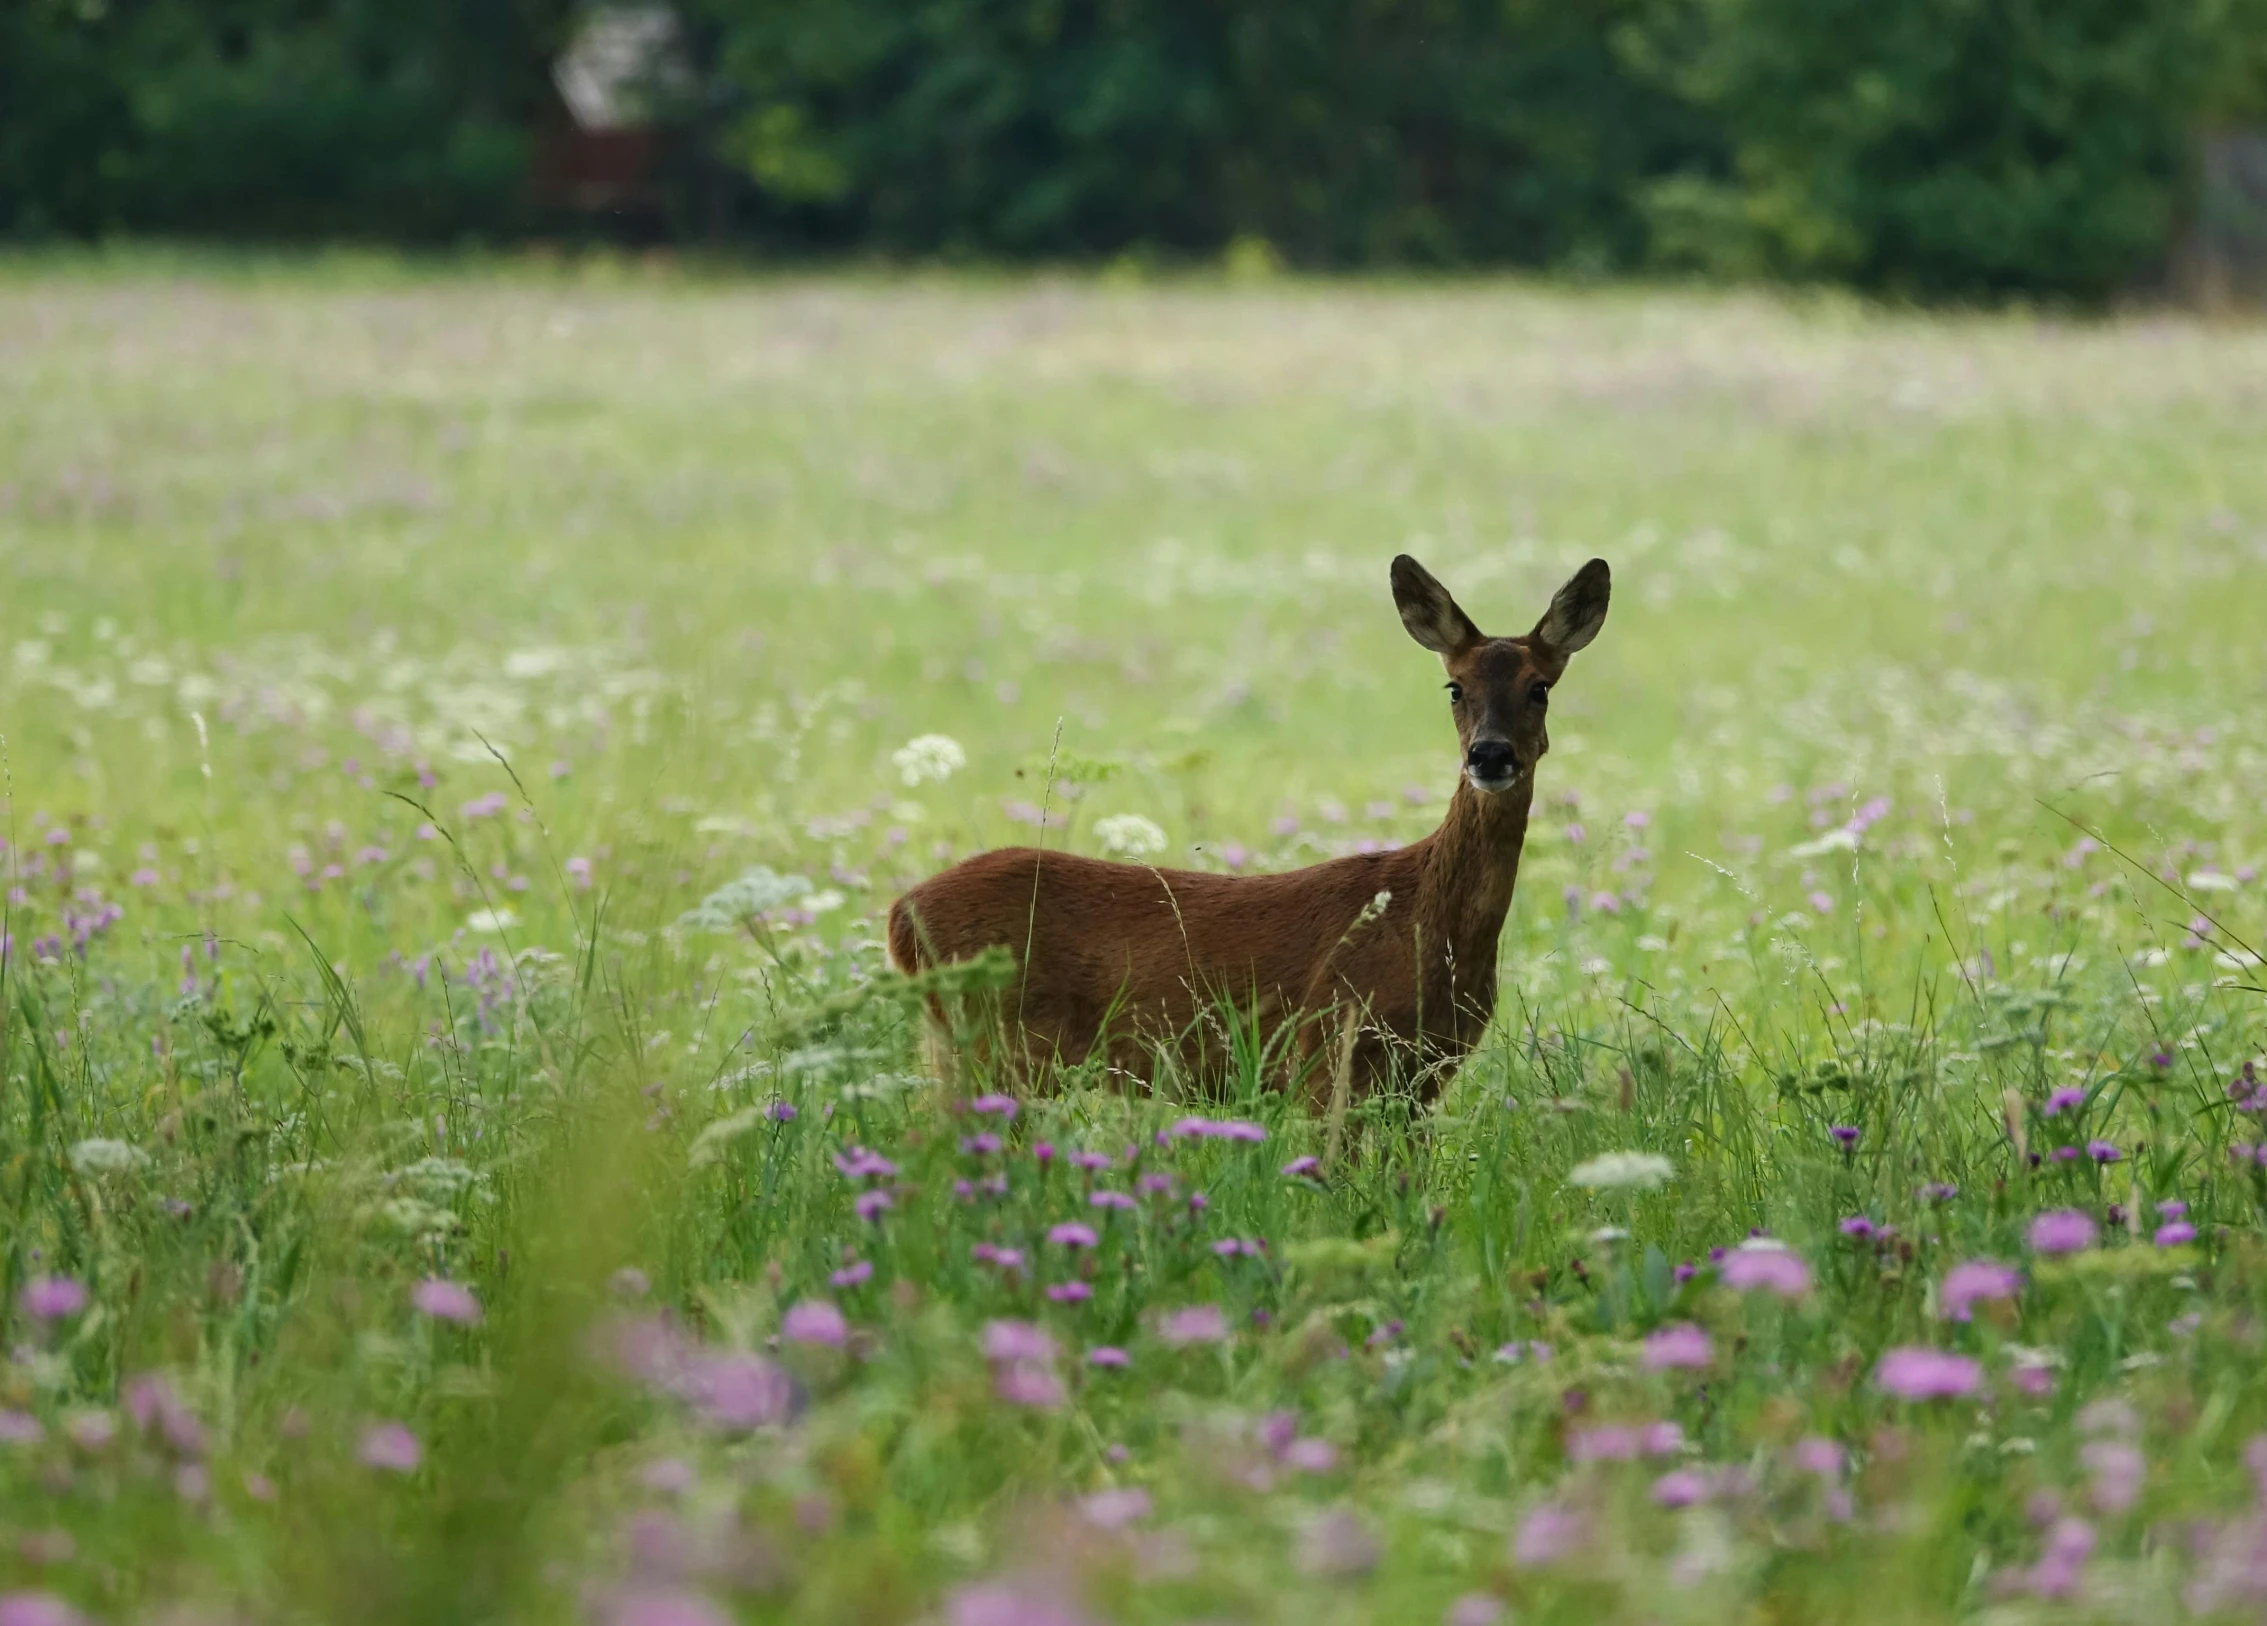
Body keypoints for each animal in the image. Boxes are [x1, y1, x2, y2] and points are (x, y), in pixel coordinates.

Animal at [884, 551, 1614, 1111]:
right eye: (1454, 687)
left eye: (1540, 687)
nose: (1490, 755)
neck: (1428, 925)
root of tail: (900, 914)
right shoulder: (1330, 1051)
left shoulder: (1424, 1078)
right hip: (995, 1046)